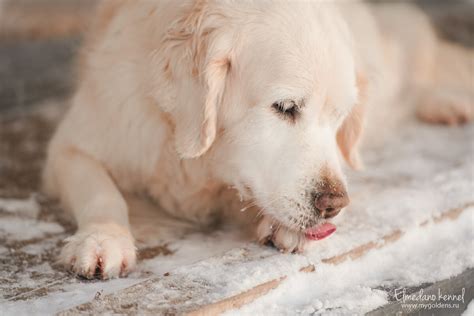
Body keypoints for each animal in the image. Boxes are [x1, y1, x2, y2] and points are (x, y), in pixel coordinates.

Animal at [43, 0, 470, 278]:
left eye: (338, 117)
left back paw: (446, 102)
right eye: (285, 107)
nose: (333, 205)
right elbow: (102, 192)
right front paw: (102, 240)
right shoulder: (75, 142)